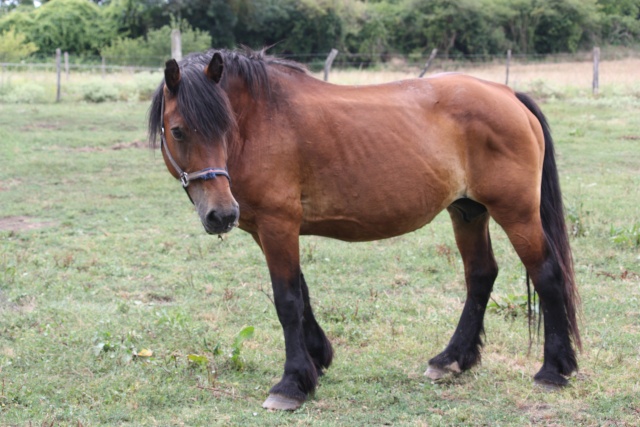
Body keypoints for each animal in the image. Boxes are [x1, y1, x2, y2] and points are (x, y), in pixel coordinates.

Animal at [149, 48, 580, 412]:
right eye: (178, 130)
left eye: (225, 126)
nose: (221, 215)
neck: (263, 119)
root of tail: (508, 95)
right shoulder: (268, 229)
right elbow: (301, 292)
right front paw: (317, 359)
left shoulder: (278, 224)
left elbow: (287, 301)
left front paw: (291, 384)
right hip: (468, 213)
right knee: (480, 275)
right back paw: (452, 359)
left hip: (516, 213)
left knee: (547, 275)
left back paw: (554, 370)